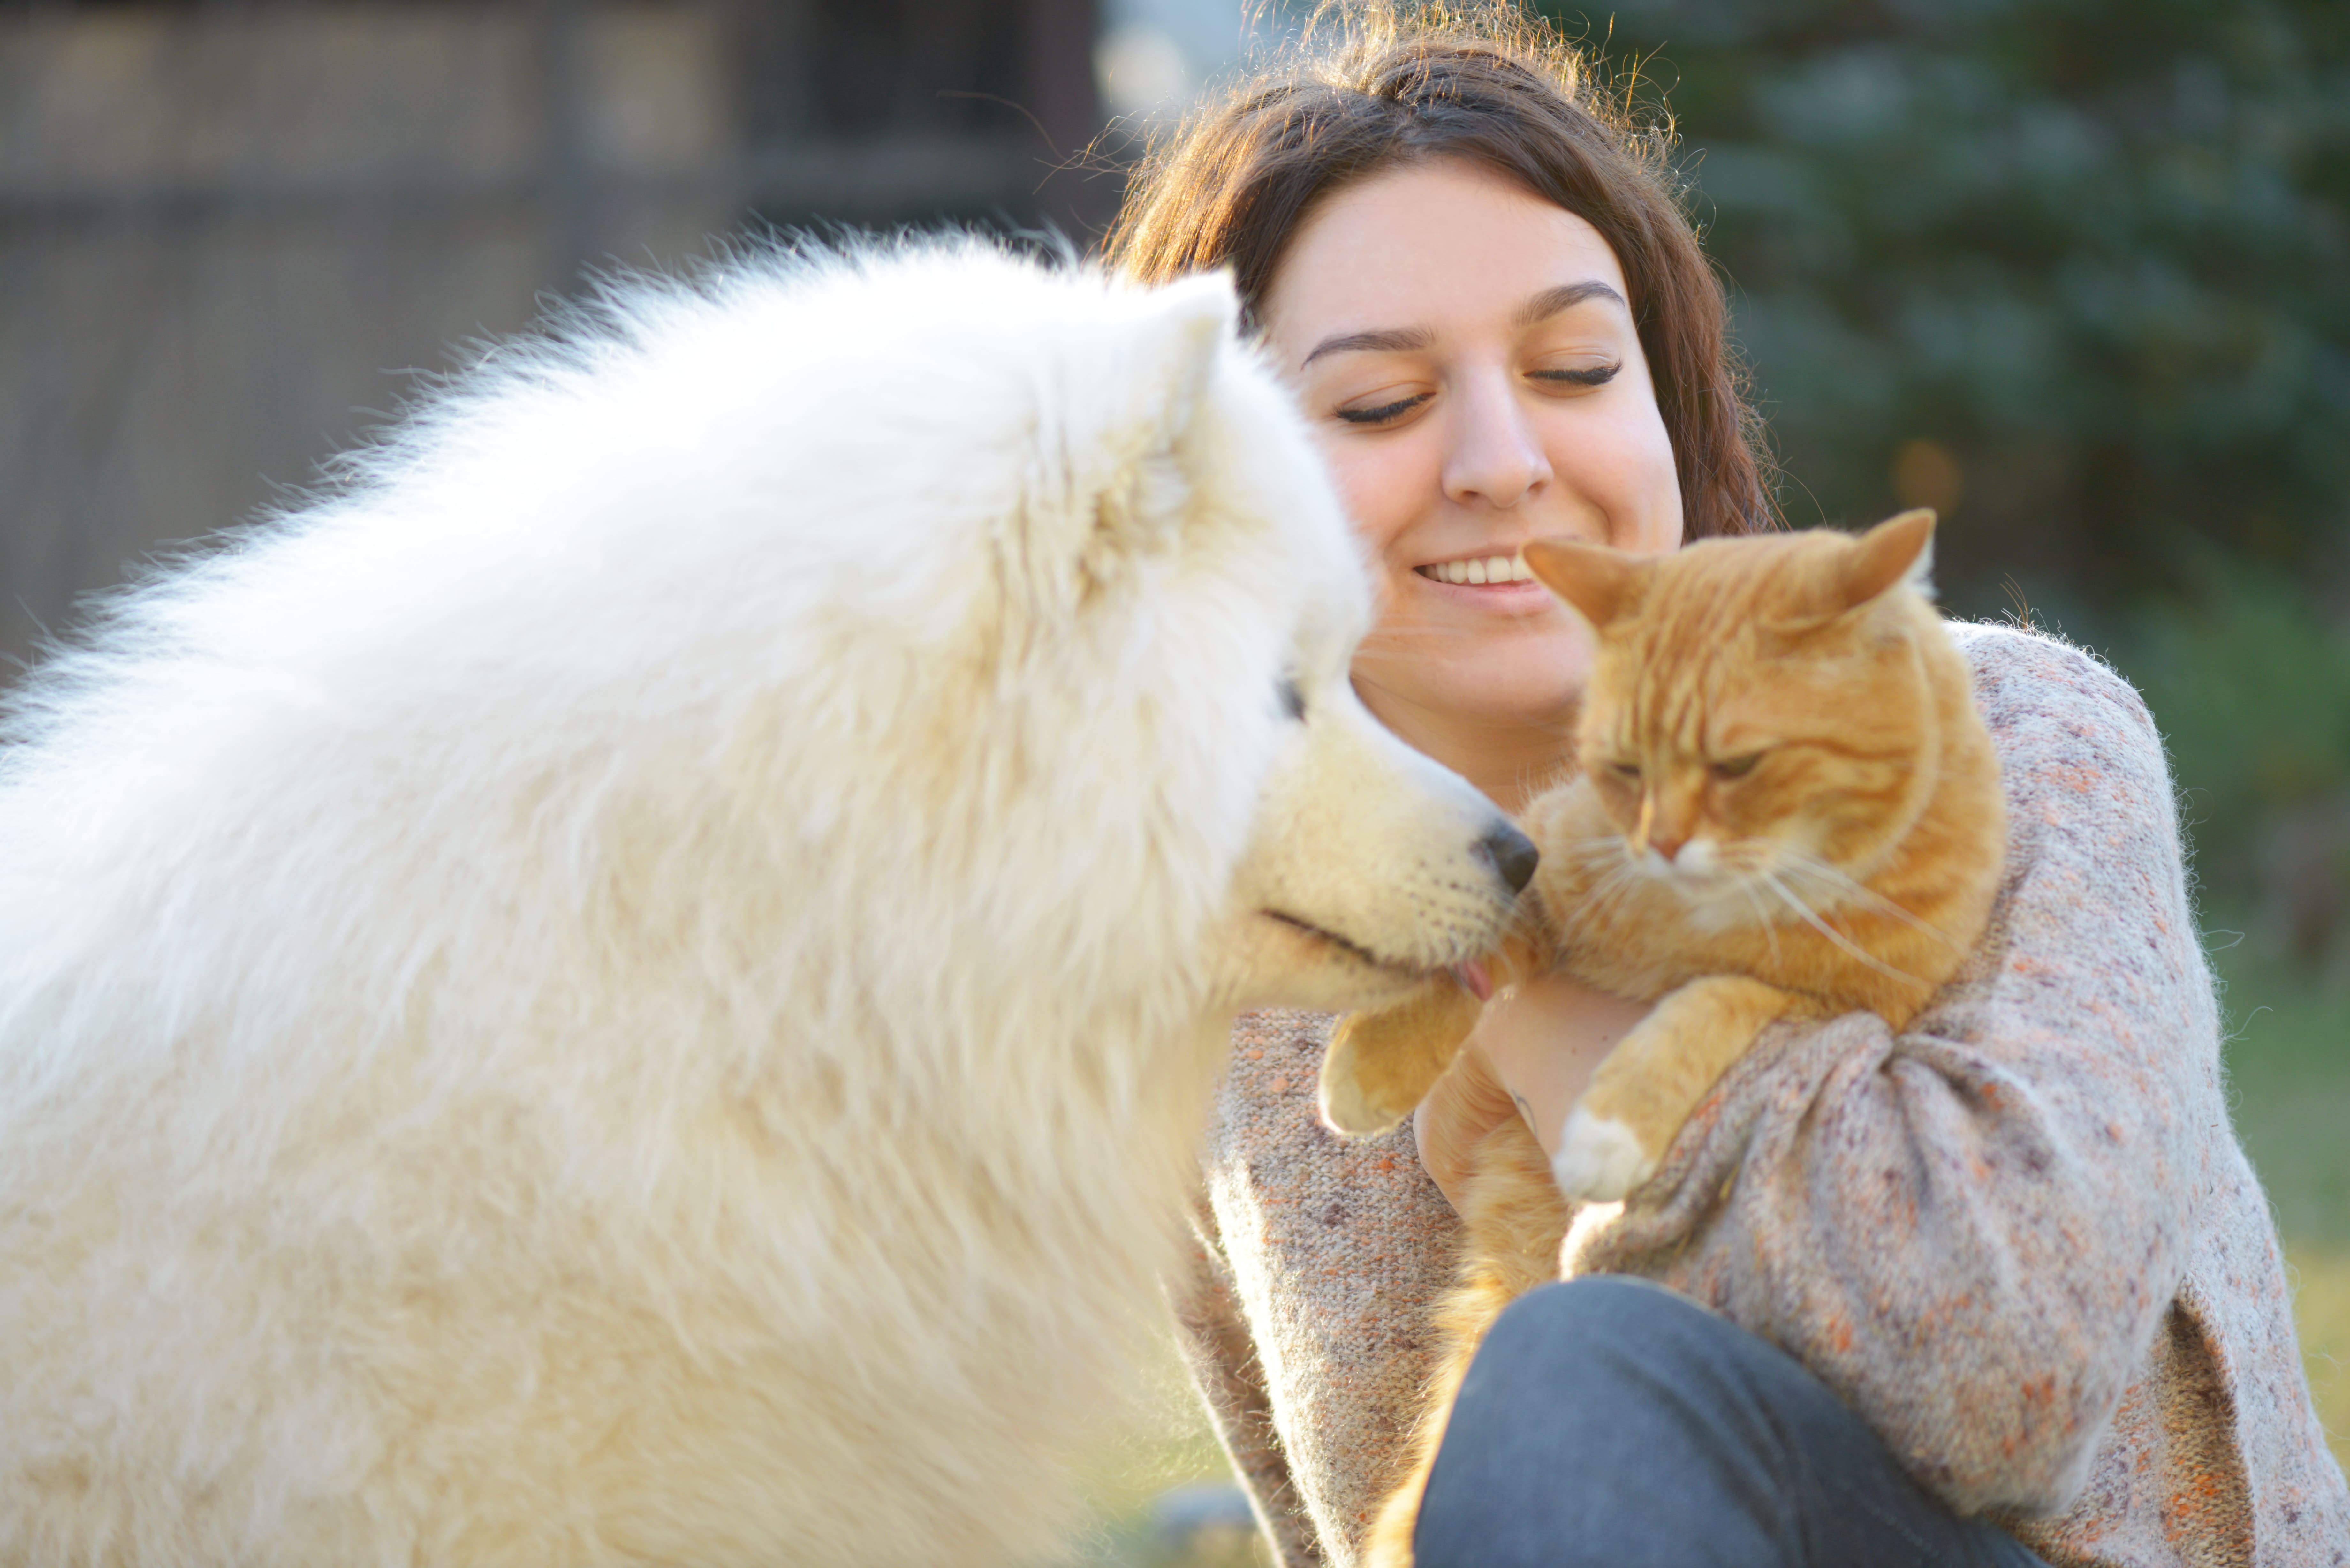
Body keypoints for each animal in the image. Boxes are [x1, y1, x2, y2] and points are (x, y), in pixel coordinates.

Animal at [1325, 515, 2002, 1568]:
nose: (1661, 844)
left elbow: (1709, 1005)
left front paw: (1609, 1131)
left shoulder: (1834, 1009)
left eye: (1737, 766)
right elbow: (1476, 952)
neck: (1702, 915)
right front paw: (1370, 1063)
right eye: (1624, 768)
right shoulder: (1551, 859)